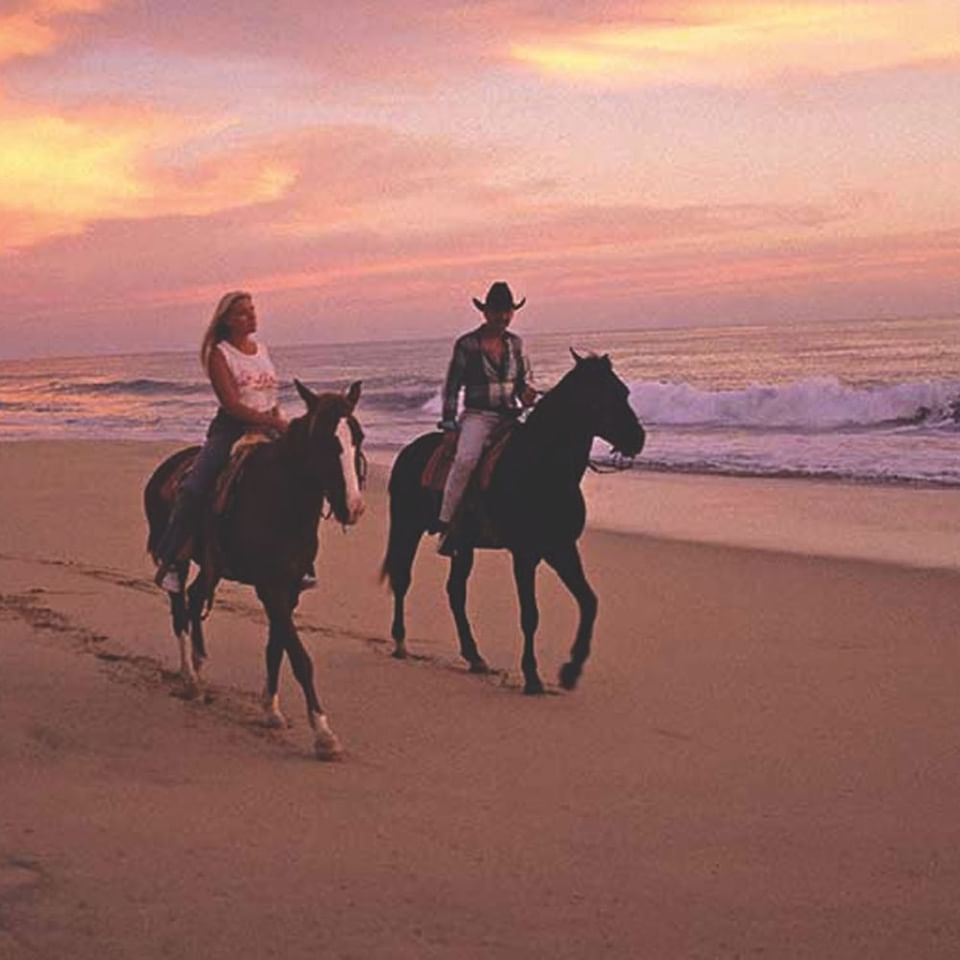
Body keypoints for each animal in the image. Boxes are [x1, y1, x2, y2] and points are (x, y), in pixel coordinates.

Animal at [144, 378, 366, 760]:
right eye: (326, 441)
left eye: (359, 437)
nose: (353, 508)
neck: (283, 501)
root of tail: (162, 470)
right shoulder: (271, 588)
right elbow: (300, 657)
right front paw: (323, 734)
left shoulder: (289, 589)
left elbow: (276, 648)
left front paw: (271, 710)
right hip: (179, 557)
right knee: (178, 608)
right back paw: (190, 679)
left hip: (212, 566)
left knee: (194, 597)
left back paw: (199, 664)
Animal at [378, 350, 640, 688]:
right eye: (599, 397)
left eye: (624, 392)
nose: (638, 438)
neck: (543, 470)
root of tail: (409, 450)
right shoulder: (525, 554)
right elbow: (530, 615)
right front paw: (532, 677)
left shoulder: (562, 549)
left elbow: (589, 602)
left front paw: (571, 669)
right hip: (406, 527)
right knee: (403, 578)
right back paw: (400, 642)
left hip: (462, 545)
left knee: (456, 592)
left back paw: (474, 656)